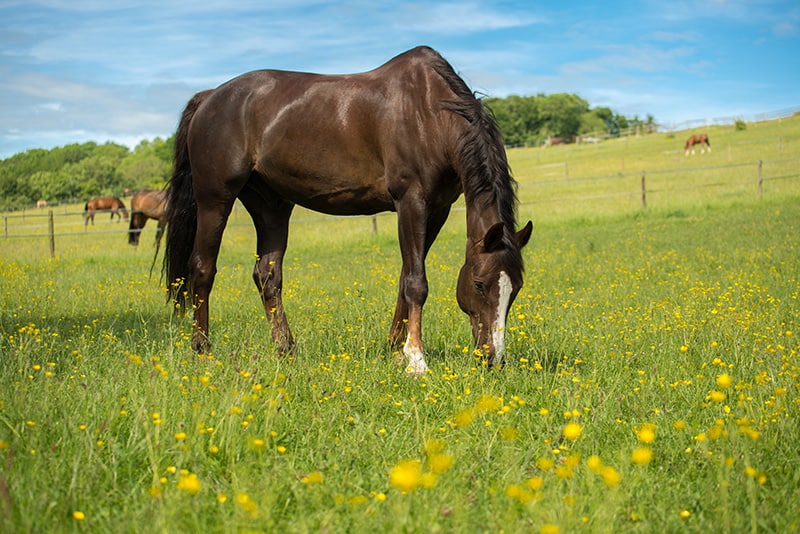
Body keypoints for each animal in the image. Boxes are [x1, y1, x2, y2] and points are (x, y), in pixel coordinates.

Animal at [164, 46, 533, 375]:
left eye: (515, 288)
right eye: (480, 284)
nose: (492, 359)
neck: (429, 112)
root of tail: (210, 97)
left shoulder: (438, 209)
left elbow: (404, 278)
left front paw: (395, 350)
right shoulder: (411, 202)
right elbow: (416, 282)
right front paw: (416, 360)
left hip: (271, 206)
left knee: (268, 276)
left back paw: (285, 349)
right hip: (215, 200)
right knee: (202, 270)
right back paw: (202, 350)